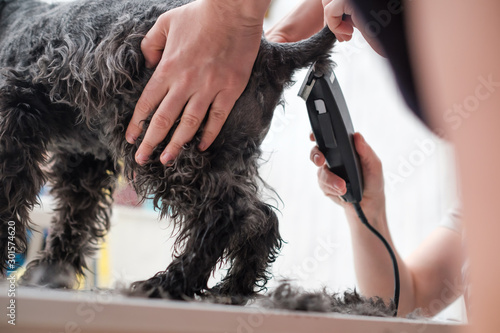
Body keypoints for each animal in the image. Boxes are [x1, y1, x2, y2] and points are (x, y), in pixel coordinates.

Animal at [0, 0, 336, 300]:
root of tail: (270, 53)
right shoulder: (82, 158)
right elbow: (74, 215)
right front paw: (50, 272)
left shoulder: (15, 116)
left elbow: (12, 195)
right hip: (225, 156)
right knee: (261, 216)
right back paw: (234, 288)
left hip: (164, 147)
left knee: (227, 214)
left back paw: (170, 283)